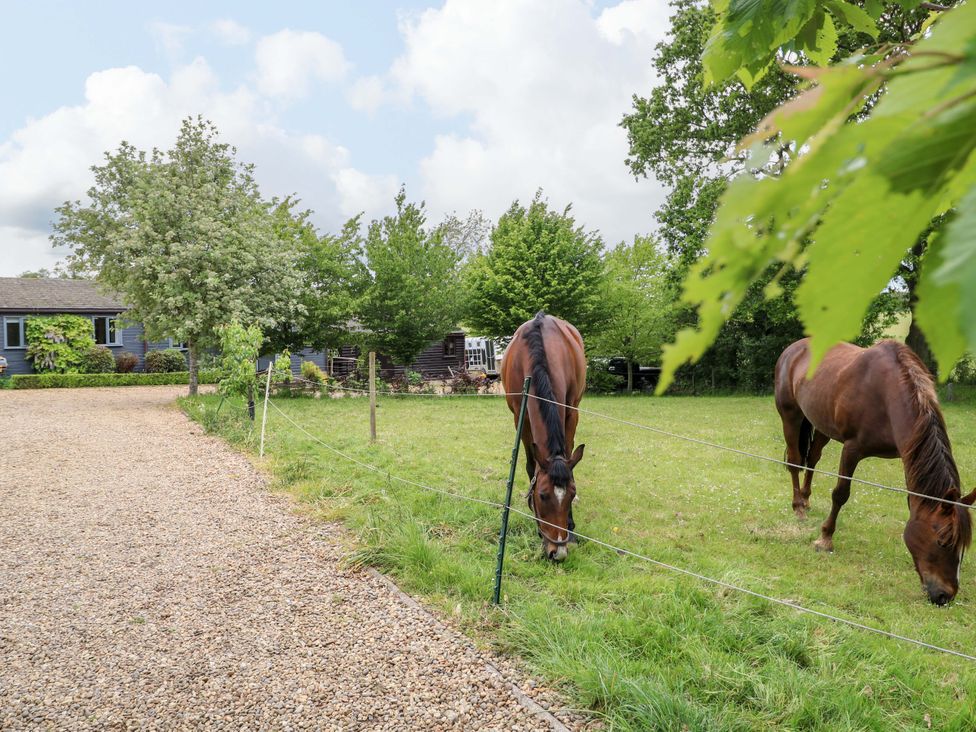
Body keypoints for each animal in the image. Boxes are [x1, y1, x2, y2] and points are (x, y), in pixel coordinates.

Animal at [502, 312, 587, 561]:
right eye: (541, 495)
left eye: (571, 492)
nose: (557, 552)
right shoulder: (520, 417)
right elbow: (531, 466)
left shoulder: (571, 412)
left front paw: (571, 528)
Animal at [775, 338, 975, 605]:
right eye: (942, 542)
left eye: (963, 545)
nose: (945, 596)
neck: (887, 394)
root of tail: (794, 348)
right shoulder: (852, 449)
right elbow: (840, 494)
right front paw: (825, 539)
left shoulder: (909, 453)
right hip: (791, 415)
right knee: (795, 461)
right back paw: (798, 506)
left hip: (822, 423)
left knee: (813, 459)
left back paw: (806, 500)